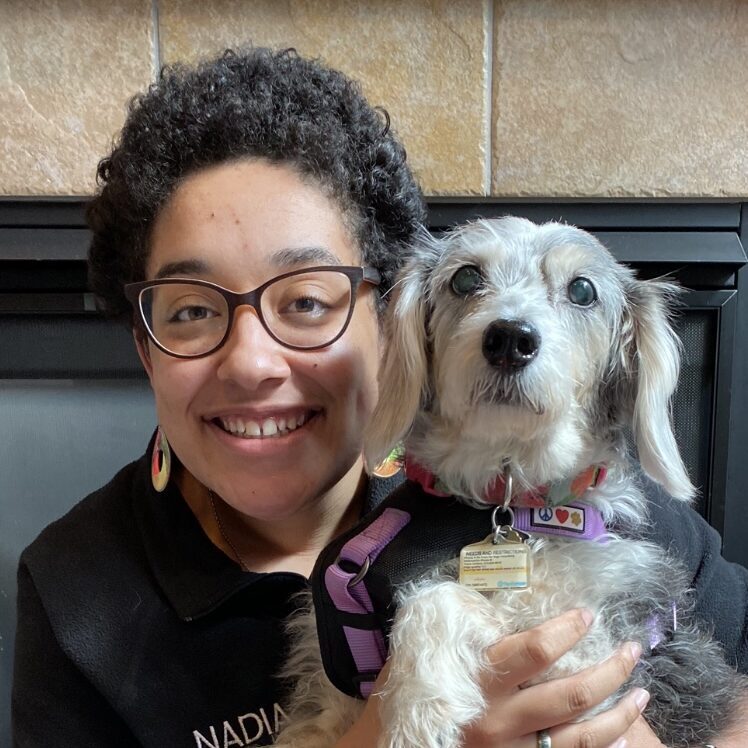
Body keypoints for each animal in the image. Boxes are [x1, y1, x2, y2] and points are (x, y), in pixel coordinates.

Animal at [278, 218, 744, 748]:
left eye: (582, 290)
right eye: (465, 278)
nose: (510, 338)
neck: (506, 498)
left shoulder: (588, 642)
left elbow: (466, 600)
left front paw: (420, 708)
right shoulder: (327, 685)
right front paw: (422, 705)